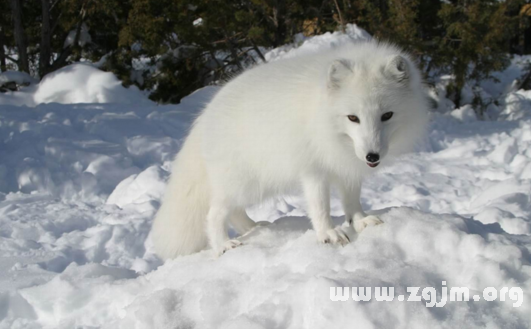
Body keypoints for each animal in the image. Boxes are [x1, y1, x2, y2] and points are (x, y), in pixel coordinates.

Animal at [152, 39, 430, 258]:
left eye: (387, 115)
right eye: (353, 118)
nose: (372, 156)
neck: (321, 116)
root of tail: (205, 115)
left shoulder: (347, 166)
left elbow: (352, 201)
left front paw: (360, 221)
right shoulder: (313, 170)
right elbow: (320, 207)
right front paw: (328, 233)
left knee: (233, 211)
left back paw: (254, 228)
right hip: (244, 182)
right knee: (214, 213)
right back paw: (223, 245)